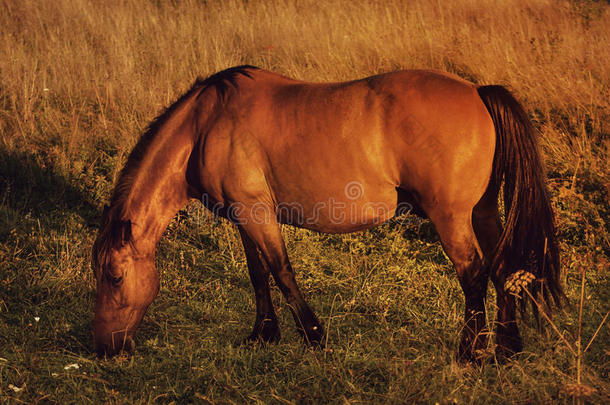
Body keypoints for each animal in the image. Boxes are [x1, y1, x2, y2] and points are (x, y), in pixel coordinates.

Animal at [90, 64, 560, 362]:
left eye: (114, 276)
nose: (105, 348)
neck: (205, 125)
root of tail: (478, 92)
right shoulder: (243, 216)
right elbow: (257, 273)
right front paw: (263, 334)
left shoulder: (256, 212)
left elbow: (281, 271)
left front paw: (314, 337)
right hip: (482, 212)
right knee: (503, 269)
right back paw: (506, 349)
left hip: (452, 218)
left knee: (474, 274)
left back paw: (470, 352)